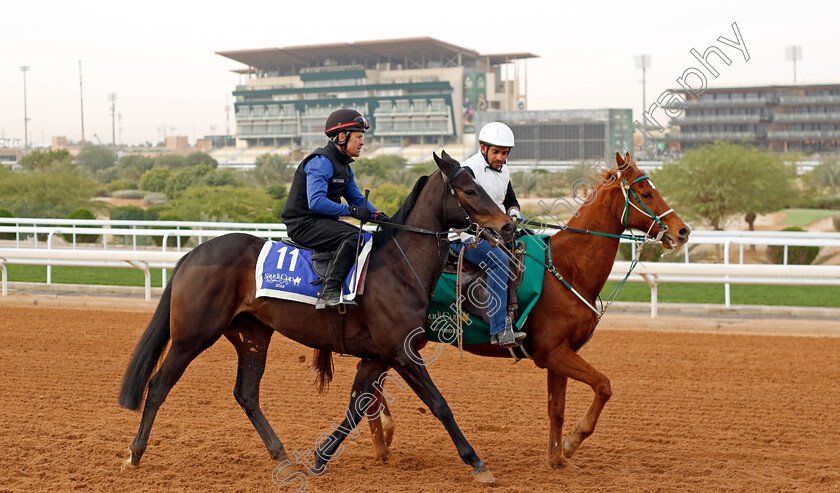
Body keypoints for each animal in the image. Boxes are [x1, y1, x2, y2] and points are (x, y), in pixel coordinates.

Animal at [117, 150, 512, 480]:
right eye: (470, 190)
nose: (506, 226)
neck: (399, 266)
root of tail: (192, 255)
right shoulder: (402, 353)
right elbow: (439, 404)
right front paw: (477, 463)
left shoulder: (377, 356)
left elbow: (356, 408)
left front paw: (321, 457)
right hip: (193, 335)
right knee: (159, 385)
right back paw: (135, 453)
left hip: (252, 335)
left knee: (246, 393)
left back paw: (281, 455)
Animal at [366, 152, 688, 468]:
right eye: (645, 193)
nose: (682, 230)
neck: (566, 268)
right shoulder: (553, 353)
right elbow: (603, 385)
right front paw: (572, 443)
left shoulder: (561, 354)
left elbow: (557, 409)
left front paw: (557, 460)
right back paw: (382, 444)